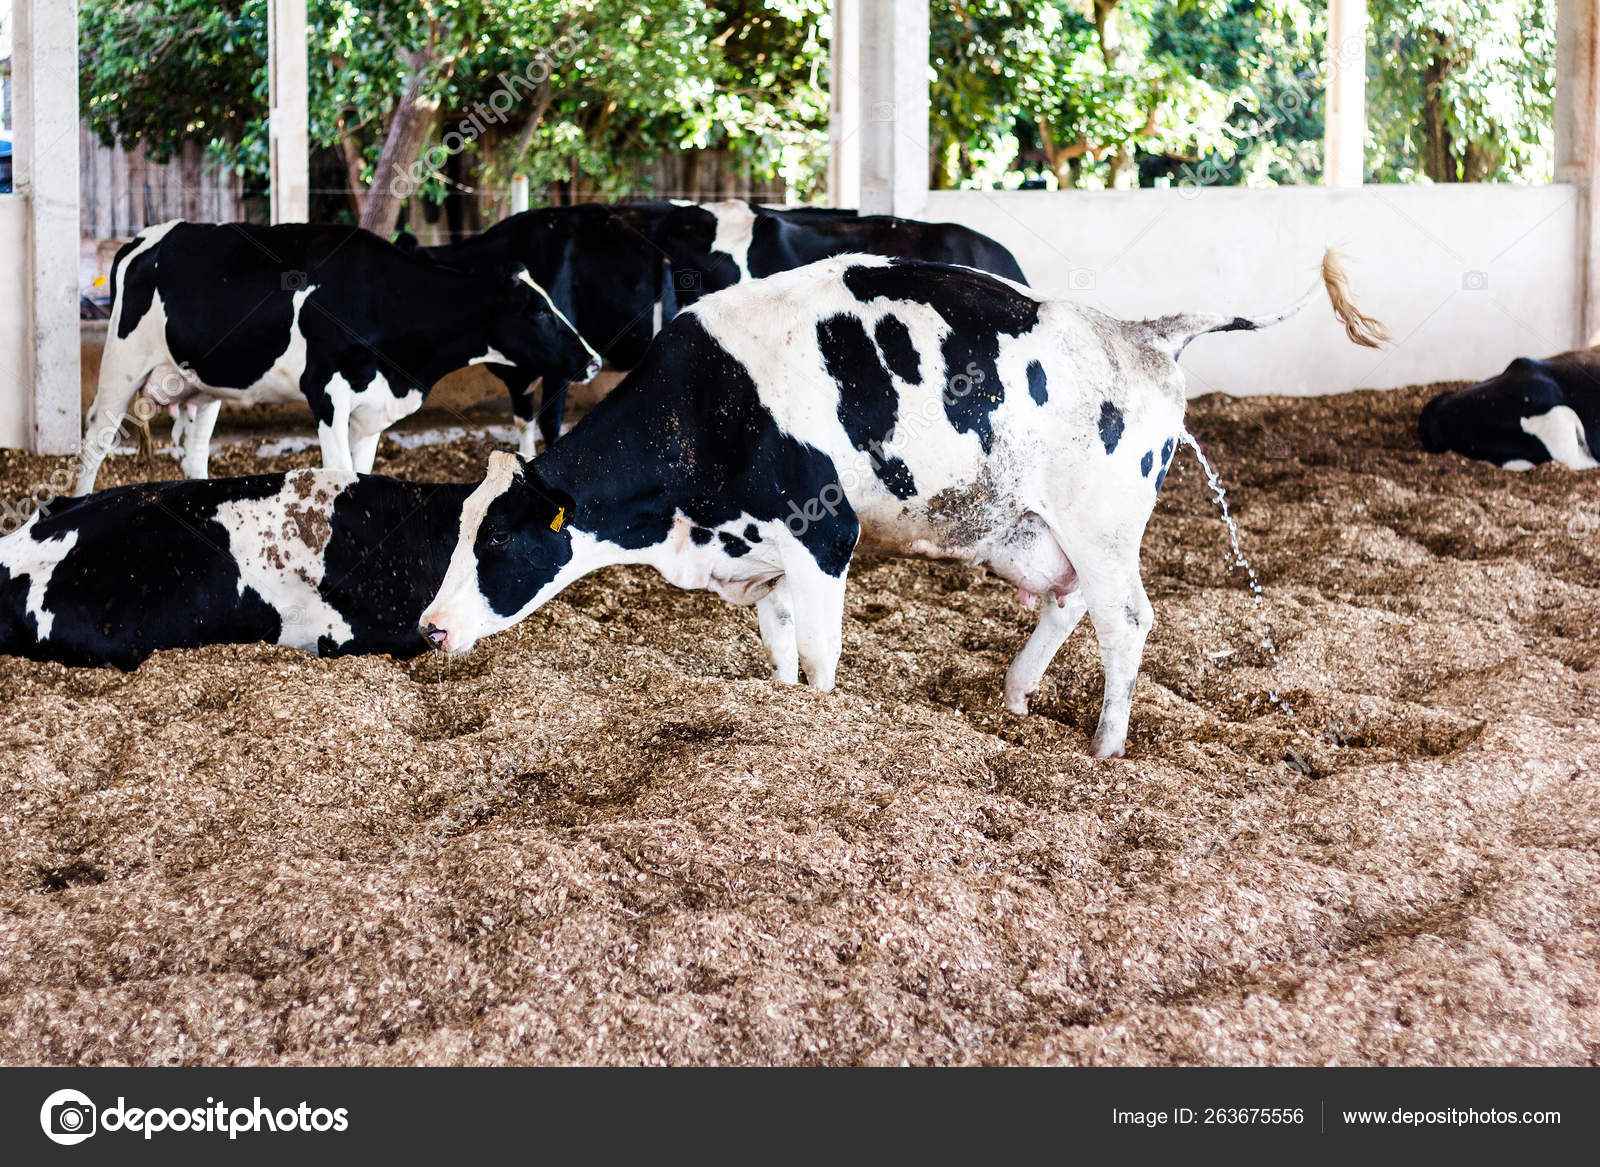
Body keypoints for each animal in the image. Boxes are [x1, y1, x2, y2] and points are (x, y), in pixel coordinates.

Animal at [74, 221, 600, 496]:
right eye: (537, 310)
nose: (593, 361)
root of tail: (141, 240)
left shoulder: (372, 410)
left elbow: (361, 475)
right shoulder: (326, 394)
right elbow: (340, 475)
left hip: (201, 387)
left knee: (195, 451)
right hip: (121, 364)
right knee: (96, 441)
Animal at [417, 250, 1387, 758]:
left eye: (498, 541)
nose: (428, 628)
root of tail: (1141, 333)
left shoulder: (823, 533)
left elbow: (821, 660)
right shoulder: (759, 553)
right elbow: (782, 653)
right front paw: (780, 703)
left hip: (1104, 524)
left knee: (1126, 620)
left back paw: (1106, 745)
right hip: (1039, 529)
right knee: (1067, 602)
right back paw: (1016, 693)